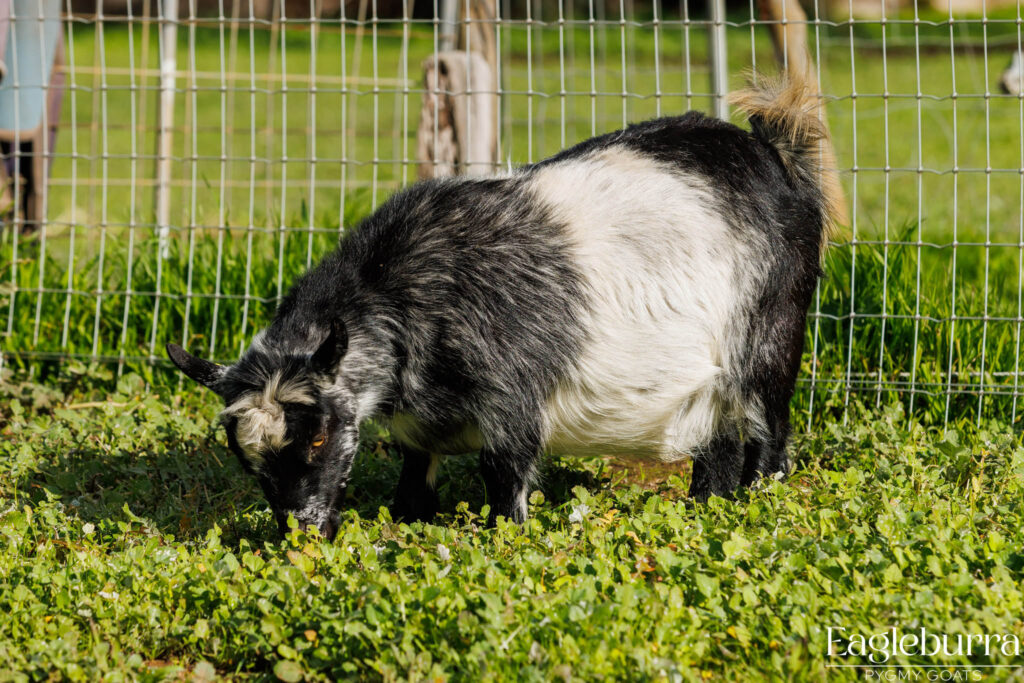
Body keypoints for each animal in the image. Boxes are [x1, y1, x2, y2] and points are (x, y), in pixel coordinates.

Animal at [168, 73, 839, 539]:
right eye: (248, 462)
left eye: (317, 439)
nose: (304, 531)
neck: (408, 297)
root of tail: (773, 153)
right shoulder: (419, 427)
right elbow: (413, 486)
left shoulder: (512, 406)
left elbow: (504, 485)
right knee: (717, 447)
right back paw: (705, 508)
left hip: (770, 341)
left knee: (768, 437)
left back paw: (762, 504)